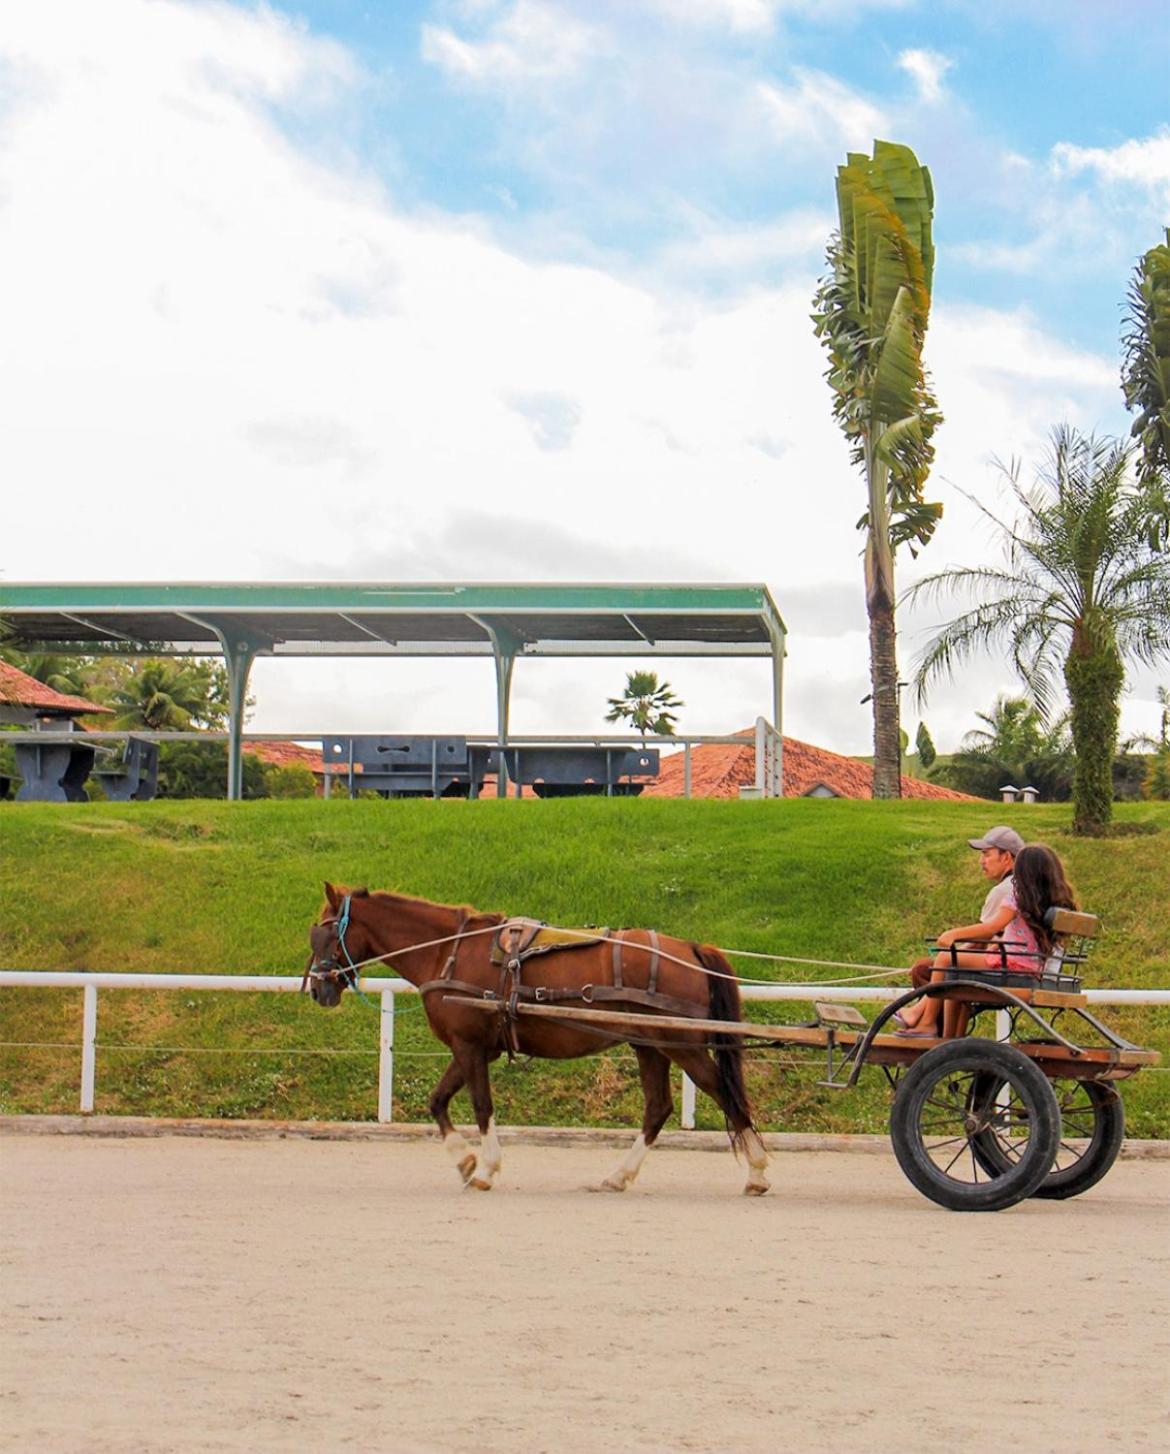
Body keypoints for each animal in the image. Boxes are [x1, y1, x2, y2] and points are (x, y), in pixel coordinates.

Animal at [305, 878, 773, 1198]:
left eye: (322, 933)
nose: (315, 988)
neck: (448, 951)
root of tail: (690, 948)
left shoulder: (470, 1047)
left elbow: (481, 1106)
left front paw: (484, 1168)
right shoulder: (474, 1047)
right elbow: (437, 1101)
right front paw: (465, 1160)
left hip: (681, 1044)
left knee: (723, 1092)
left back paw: (757, 1169)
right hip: (649, 1046)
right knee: (657, 1108)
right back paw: (619, 1175)